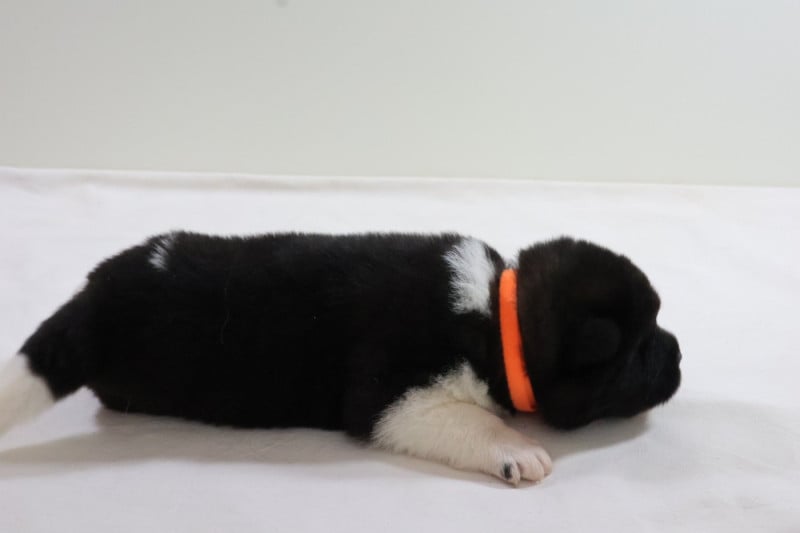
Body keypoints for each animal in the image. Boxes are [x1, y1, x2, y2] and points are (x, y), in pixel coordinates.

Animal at [0, 232, 681, 485]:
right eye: (640, 348)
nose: (678, 355)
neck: (496, 314)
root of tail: (94, 295)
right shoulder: (392, 395)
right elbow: (474, 421)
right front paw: (516, 449)